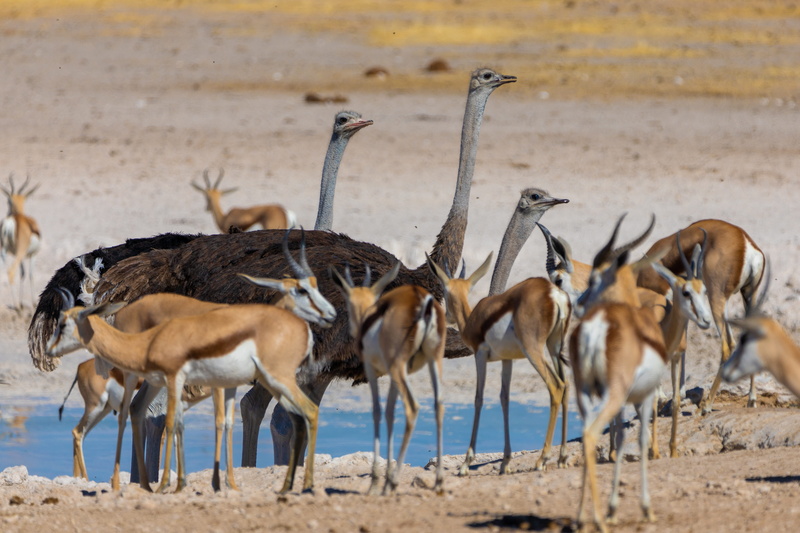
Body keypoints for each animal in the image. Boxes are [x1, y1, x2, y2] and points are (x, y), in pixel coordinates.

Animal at [0, 173, 41, 310]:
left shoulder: (22, 256)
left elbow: (23, 273)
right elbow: (31, 274)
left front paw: (23, 302)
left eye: (8, 201)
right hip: (19, 252)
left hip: (4, 251)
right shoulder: (32, 254)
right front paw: (33, 302)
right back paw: (17, 307)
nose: (8, 212)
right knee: (11, 271)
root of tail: (10, 221)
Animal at [331, 262, 447, 495]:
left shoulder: (373, 371)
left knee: (412, 407)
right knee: (438, 405)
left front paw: (376, 482)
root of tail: (422, 301)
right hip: (433, 360)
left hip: (399, 367)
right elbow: (390, 413)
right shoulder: (394, 376)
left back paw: (392, 483)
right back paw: (438, 482)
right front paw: (383, 479)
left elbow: (377, 411)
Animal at [427, 252, 572, 474]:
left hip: (534, 350)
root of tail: (552, 293)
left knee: (555, 386)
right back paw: (562, 457)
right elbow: (504, 398)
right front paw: (505, 463)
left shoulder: (480, 356)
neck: (473, 320)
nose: (448, 317)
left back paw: (542, 459)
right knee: (566, 385)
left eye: (444, 290)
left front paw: (465, 464)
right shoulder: (507, 359)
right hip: (554, 346)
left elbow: (478, 399)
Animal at [570, 216, 668, 533]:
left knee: (586, 434)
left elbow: (621, 441)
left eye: (592, 280)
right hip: (611, 394)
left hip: (586, 394)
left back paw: (581, 517)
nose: (578, 305)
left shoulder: (625, 400)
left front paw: (613, 508)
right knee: (590, 434)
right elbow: (641, 440)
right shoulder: (644, 397)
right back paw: (598, 520)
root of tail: (597, 326)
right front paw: (645, 509)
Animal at [637, 219, 765, 414]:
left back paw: (707, 405)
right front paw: (678, 396)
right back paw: (752, 399)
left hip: (716, 300)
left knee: (727, 345)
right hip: (749, 296)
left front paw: (664, 397)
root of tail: (746, 244)